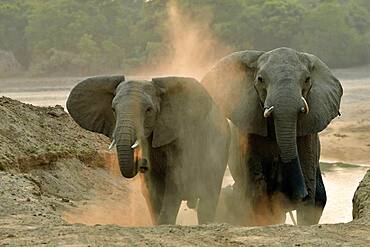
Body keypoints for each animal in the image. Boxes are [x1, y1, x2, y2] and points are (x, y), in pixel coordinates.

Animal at [65, 75, 230, 224]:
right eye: (113, 110)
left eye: (149, 110)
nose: (142, 163)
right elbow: (151, 188)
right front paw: (158, 223)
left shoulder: (181, 138)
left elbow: (174, 183)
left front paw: (164, 223)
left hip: (218, 152)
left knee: (208, 197)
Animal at [202, 46, 344, 226]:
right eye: (260, 79)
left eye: (307, 80)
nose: (299, 195)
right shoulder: (248, 127)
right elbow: (257, 186)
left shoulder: (310, 131)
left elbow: (309, 182)